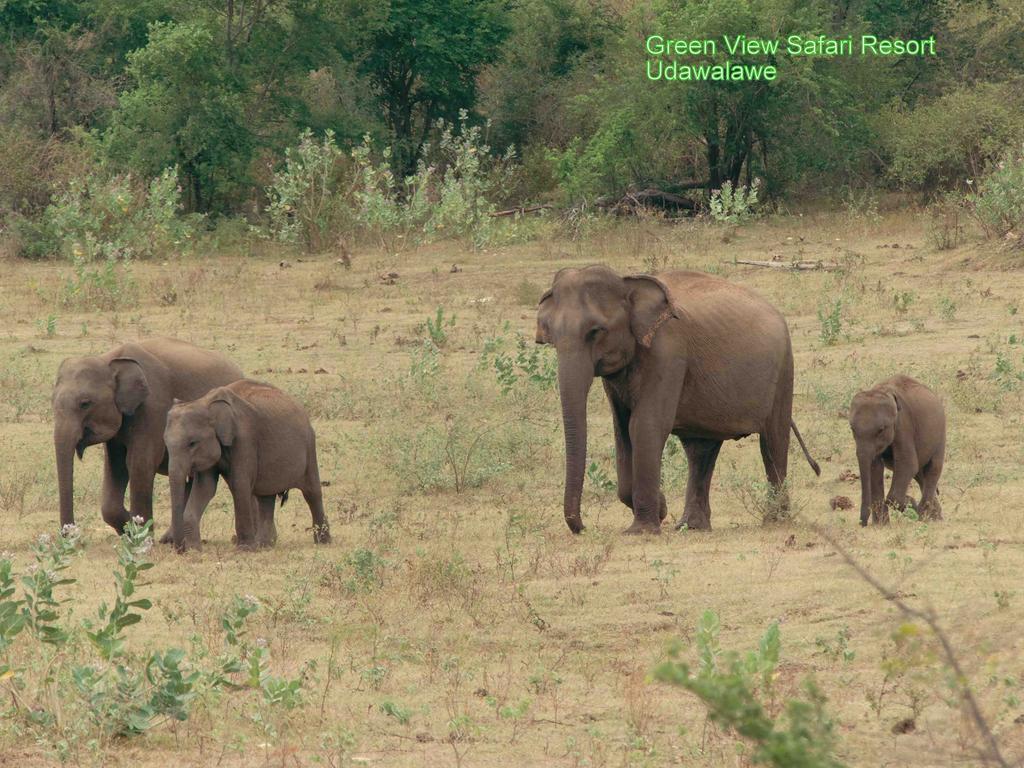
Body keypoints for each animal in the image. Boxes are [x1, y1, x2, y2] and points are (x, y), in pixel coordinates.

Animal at [51, 339, 243, 536]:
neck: (109, 360)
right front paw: (129, 527)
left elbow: (139, 464)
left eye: (85, 404)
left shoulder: (153, 407)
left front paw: (139, 531)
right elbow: (116, 467)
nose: (69, 533)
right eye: (52, 402)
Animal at [163, 380, 329, 552]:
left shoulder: (245, 439)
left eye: (192, 443)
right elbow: (205, 488)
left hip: (309, 446)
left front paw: (244, 549)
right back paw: (264, 545)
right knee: (266, 497)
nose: (180, 549)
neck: (206, 403)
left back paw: (323, 542)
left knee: (312, 492)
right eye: (165, 443)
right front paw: (194, 549)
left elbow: (239, 484)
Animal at [536, 268, 815, 536]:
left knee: (773, 442)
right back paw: (691, 526)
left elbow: (645, 425)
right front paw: (659, 510)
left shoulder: (668, 351)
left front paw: (642, 530)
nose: (582, 528)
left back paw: (774, 522)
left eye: (595, 332)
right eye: (551, 337)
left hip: (784, 369)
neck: (628, 282)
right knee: (700, 450)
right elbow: (623, 430)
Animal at [847, 376, 942, 528]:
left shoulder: (903, 425)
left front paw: (911, 504)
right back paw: (935, 518)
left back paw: (924, 516)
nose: (863, 523)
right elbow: (875, 467)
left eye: (881, 430)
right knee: (920, 475)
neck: (883, 391)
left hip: (940, 436)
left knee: (933, 469)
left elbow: (908, 464)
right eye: (852, 429)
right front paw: (881, 526)